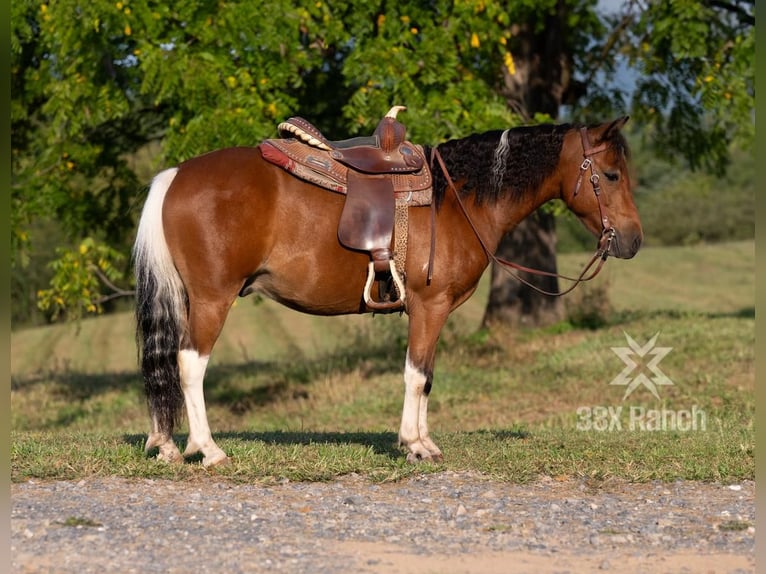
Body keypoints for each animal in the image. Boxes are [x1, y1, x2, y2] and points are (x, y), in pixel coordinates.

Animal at [135, 111, 644, 468]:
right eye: (612, 176)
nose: (633, 240)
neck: (454, 199)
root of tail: (175, 176)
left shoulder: (433, 312)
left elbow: (428, 376)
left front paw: (424, 440)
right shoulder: (429, 306)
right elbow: (416, 375)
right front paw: (414, 445)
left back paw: (166, 445)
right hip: (211, 300)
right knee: (189, 365)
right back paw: (208, 449)